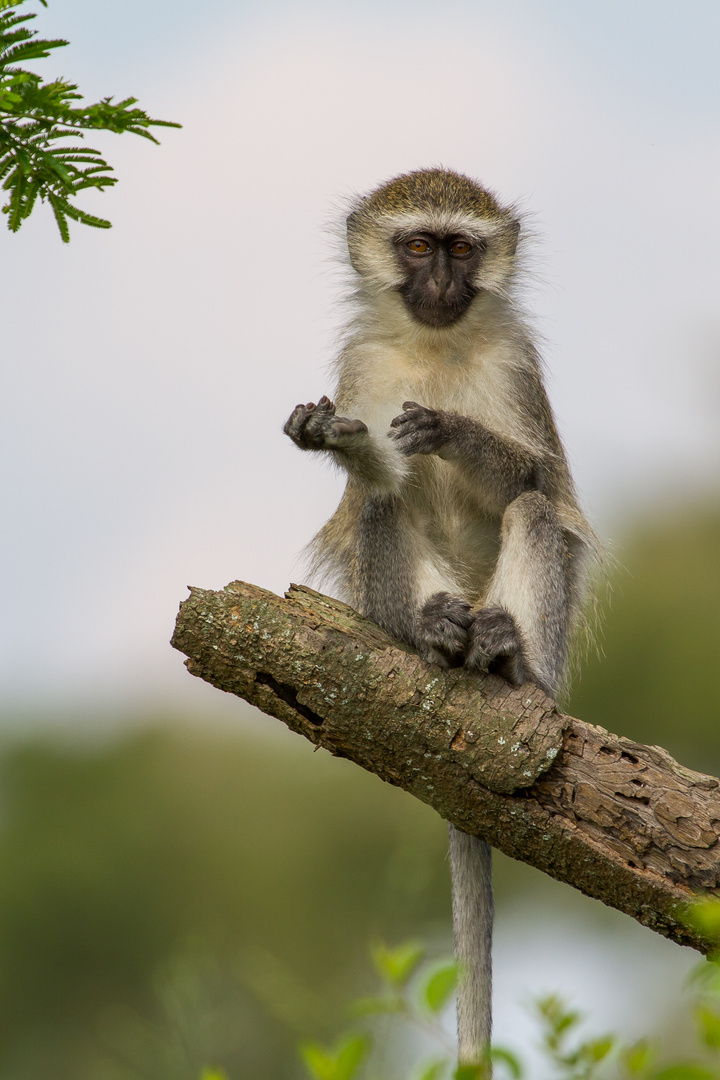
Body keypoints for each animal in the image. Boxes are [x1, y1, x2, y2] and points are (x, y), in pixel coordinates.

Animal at [284, 166, 600, 1062]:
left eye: (462, 249)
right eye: (418, 245)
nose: (440, 284)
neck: (434, 347)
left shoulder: (516, 367)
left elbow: (532, 477)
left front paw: (451, 428)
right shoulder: (362, 365)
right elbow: (373, 484)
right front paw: (332, 437)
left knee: (533, 512)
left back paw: (504, 658)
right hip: (398, 601)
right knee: (382, 509)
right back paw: (430, 632)